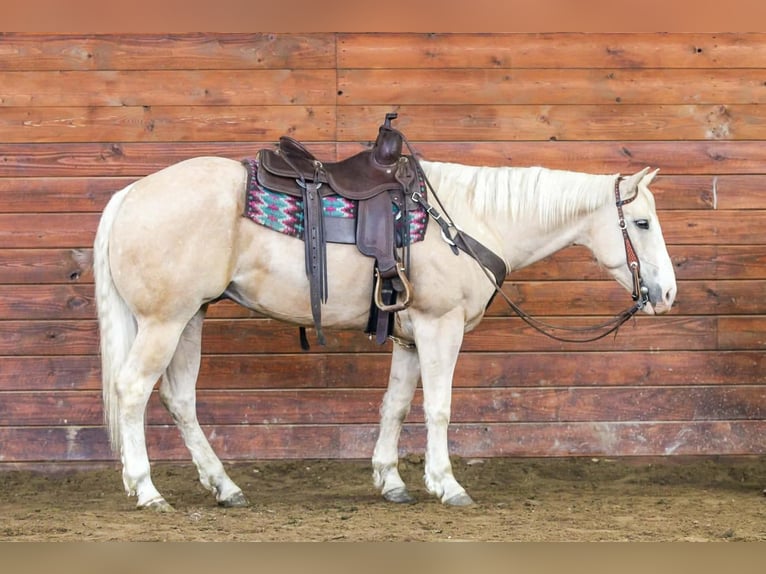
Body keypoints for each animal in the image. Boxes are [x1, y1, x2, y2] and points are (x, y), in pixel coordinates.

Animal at [93, 155, 677, 511]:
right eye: (642, 223)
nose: (667, 293)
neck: (467, 221)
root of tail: (129, 194)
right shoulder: (441, 328)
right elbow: (438, 408)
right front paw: (447, 484)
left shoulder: (410, 337)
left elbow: (394, 406)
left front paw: (391, 481)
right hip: (165, 322)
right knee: (132, 391)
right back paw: (146, 490)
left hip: (190, 318)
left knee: (179, 400)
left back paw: (224, 487)